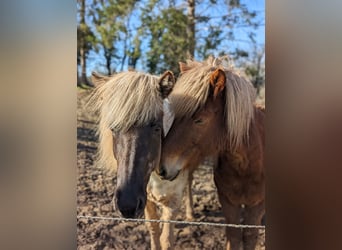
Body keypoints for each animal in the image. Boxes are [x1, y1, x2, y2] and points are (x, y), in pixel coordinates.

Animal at [89, 70, 195, 250]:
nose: (127, 205)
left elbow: (167, 239)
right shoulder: (147, 199)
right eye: (113, 128)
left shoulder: (173, 201)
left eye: (156, 127)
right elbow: (154, 229)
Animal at [158, 57, 264, 250]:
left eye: (200, 120)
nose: (161, 168)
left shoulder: (257, 205)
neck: (246, 165)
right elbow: (234, 236)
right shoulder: (228, 202)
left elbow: (250, 236)